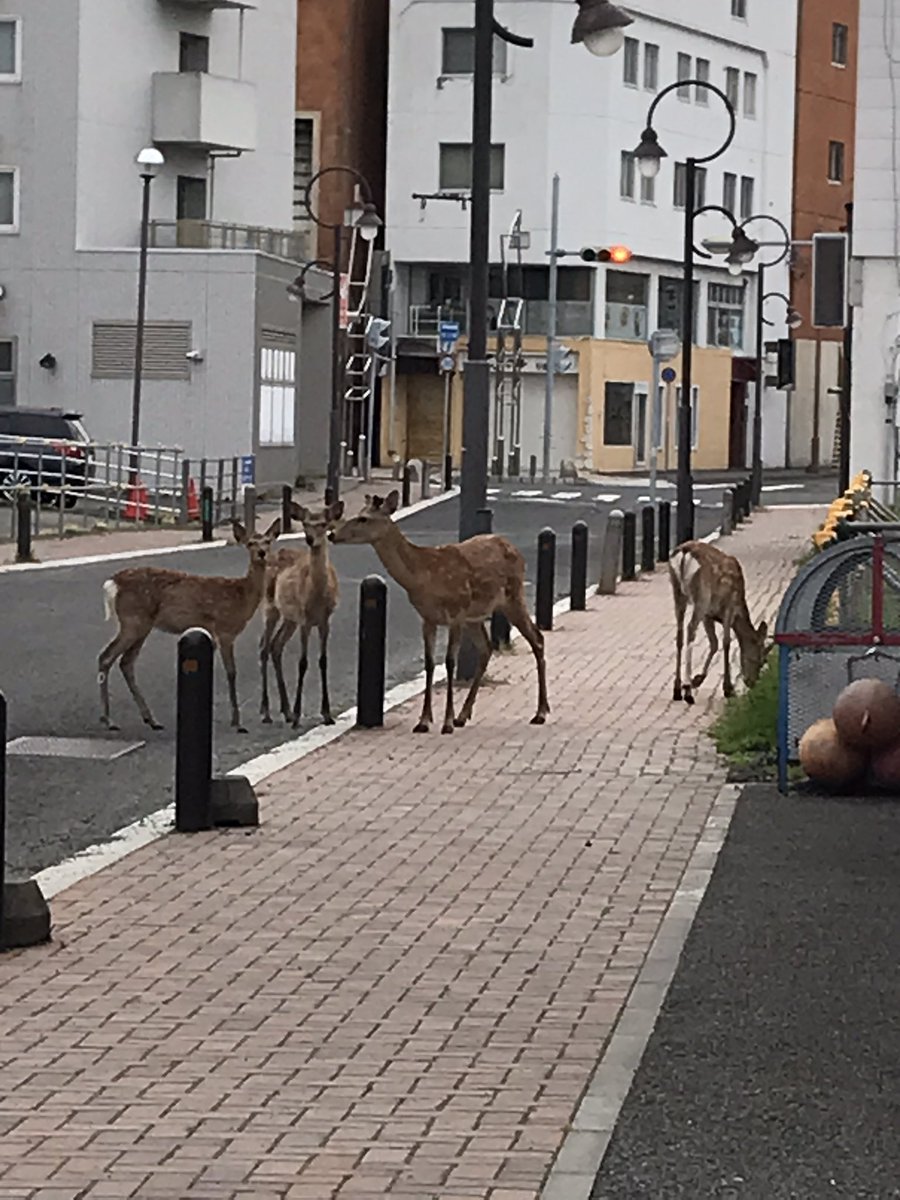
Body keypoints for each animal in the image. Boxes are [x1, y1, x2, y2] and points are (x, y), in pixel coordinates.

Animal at [98, 517, 282, 734]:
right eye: (251, 543)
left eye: (268, 541)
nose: (262, 553)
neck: (241, 596)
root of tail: (113, 583)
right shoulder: (224, 630)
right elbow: (231, 672)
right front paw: (237, 723)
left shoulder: (213, 635)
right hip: (133, 620)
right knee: (106, 656)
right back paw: (109, 720)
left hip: (142, 624)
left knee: (126, 662)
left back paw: (150, 719)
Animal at [259, 500, 344, 728]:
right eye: (305, 524)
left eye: (323, 523)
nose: (310, 539)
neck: (317, 596)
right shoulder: (305, 620)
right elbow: (303, 663)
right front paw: (298, 715)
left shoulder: (325, 620)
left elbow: (323, 661)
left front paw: (327, 714)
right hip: (270, 606)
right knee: (264, 647)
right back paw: (267, 712)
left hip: (290, 619)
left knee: (276, 646)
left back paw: (286, 711)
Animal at [330, 490, 549, 733]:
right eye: (358, 513)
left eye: (363, 518)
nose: (332, 534)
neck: (423, 576)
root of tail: (517, 552)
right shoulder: (427, 617)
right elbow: (429, 663)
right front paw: (424, 721)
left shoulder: (456, 613)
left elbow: (449, 661)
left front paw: (446, 722)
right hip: (476, 616)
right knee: (487, 648)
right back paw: (463, 716)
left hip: (512, 597)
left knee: (537, 638)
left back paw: (540, 713)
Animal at [668, 540, 768, 706]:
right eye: (761, 659)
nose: (752, 682)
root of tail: (684, 552)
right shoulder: (729, 607)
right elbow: (726, 642)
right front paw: (728, 688)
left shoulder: (708, 615)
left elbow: (714, 643)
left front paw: (697, 679)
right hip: (702, 594)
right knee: (690, 629)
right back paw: (687, 691)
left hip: (678, 592)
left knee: (680, 634)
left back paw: (677, 689)